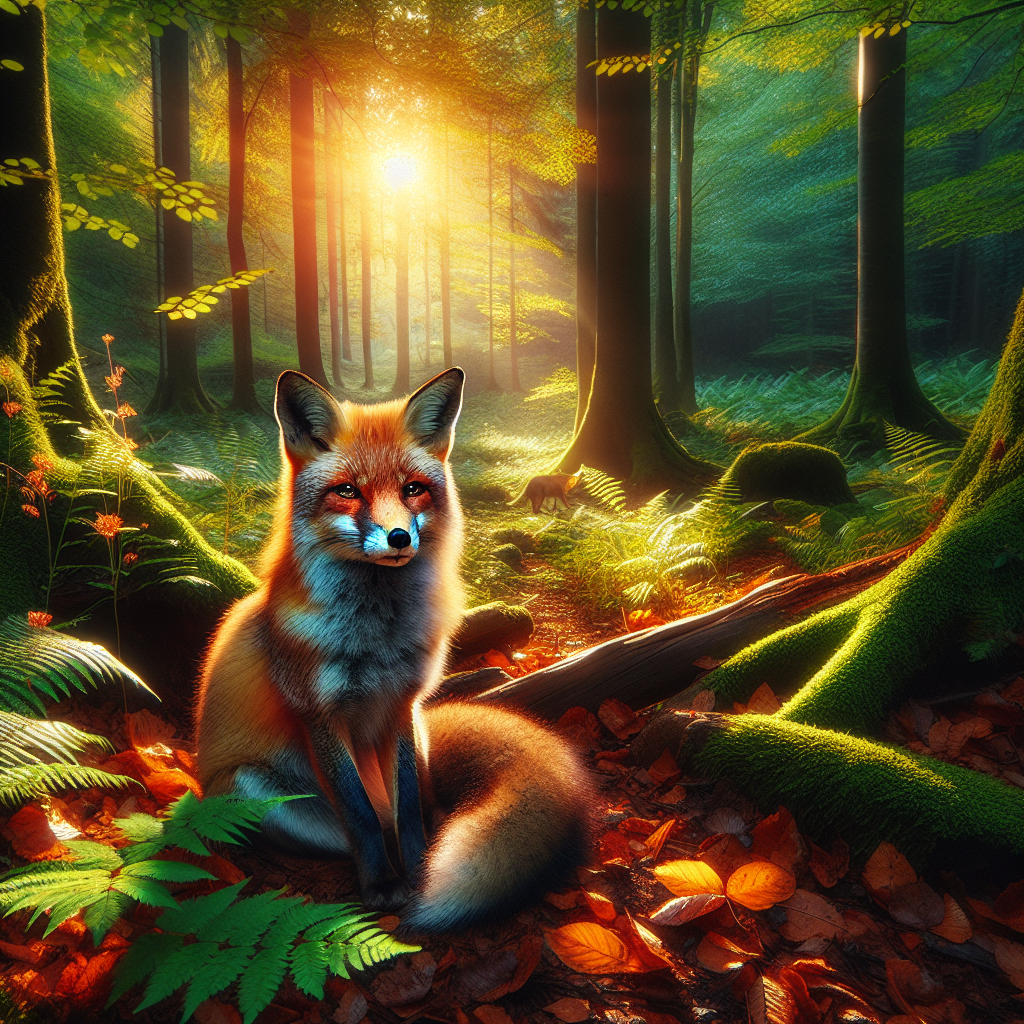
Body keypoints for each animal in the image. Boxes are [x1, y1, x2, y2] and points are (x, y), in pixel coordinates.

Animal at [195, 368, 592, 933]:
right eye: (347, 491)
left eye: (413, 490)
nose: (400, 537)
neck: (376, 643)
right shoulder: (320, 716)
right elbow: (362, 813)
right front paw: (384, 885)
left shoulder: (403, 706)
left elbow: (408, 809)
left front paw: (421, 868)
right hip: (252, 787)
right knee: (360, 826)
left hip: (420, 737)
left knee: (426, 807)